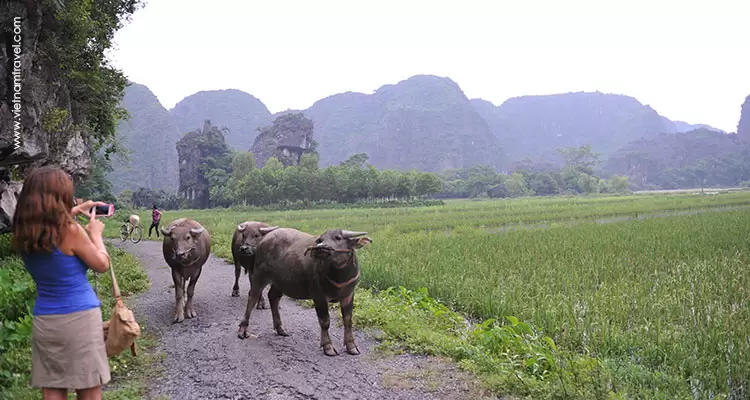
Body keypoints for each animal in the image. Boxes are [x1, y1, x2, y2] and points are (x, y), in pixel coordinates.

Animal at [238, 228, 374, 356]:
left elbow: (348, 320)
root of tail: (264, 240)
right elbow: (325, 321)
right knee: (253, 297)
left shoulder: (349, 295)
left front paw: (351, 346)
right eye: (320, 239)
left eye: (338, 238)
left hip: (280, 282)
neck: (339, 276)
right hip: (259, 276)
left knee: (273, 297)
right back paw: (243, 330)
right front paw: (328, 347)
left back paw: (280, 328)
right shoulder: (319, 296)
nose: (321, 248)